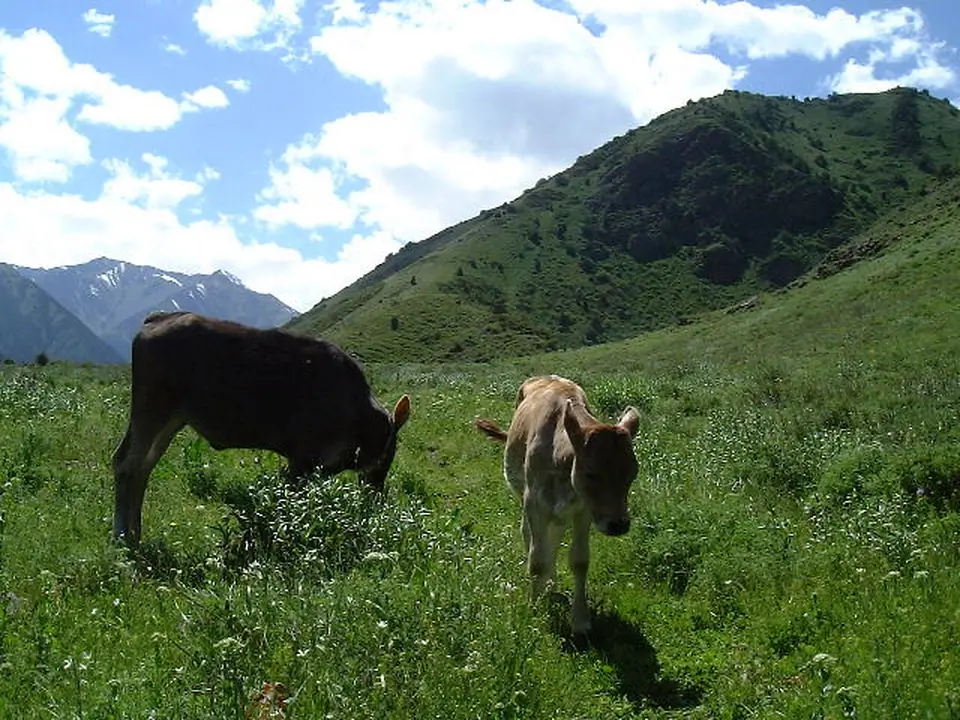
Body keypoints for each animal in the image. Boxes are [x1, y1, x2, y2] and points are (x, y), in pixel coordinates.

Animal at [112, 311, 411, 546]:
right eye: (390, 451)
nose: (376, 492)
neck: (360, 416)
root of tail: (157, 318)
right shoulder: (302, 461)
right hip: (151, 409)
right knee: (126, 463)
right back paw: (122, 537)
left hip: (171, 419)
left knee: (143, 467)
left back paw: (135, 534)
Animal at [475, 375, 640, 635]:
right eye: (591, 473)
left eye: (633, 473)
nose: (618, 524)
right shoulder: (534, 503)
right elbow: (536, 559)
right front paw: (534, 608)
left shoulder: (584, 510)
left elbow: (579, 561)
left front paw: (580, 620)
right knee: (528, 534)